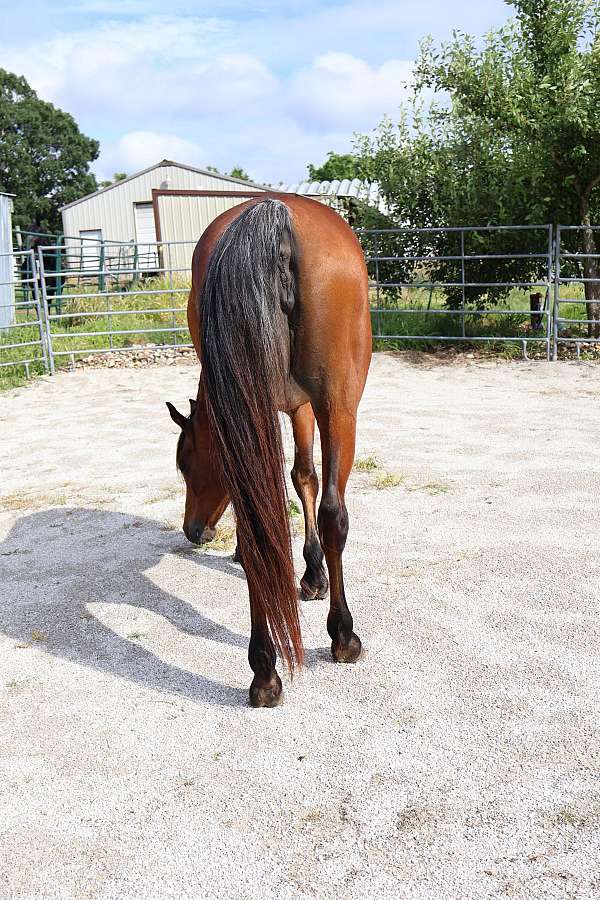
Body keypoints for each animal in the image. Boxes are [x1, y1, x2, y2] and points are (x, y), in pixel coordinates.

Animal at [165, 193, 370, 708]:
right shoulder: (303, 406)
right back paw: (341, 636)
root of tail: (271, 213)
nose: (193, 531)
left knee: (256, 520)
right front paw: (314, 575)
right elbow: (306, 480)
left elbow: (296, 480)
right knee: (333, 512)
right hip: (339, 406)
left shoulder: (289, 407)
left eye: (186, 464)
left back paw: (264, 669)